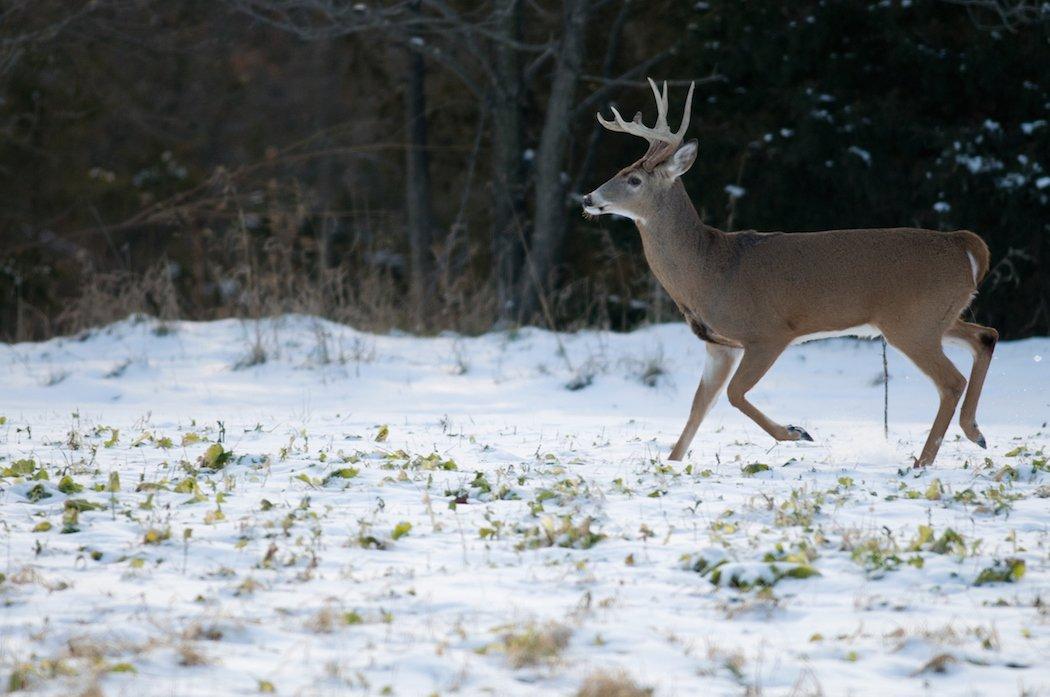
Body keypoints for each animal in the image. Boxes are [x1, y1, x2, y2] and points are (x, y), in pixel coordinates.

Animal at [588, 78, 995, 466]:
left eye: (634, 180)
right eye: (620, 171)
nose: (589, 198)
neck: (708, 269)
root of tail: (964, 245)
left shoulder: (767, 332)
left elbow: (734, 395)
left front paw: (797, 432)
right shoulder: (719, 345)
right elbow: (697, 410)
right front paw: (672, 463)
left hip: (911, 322)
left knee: (951, 380)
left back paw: (923, 461)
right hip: (936, 316)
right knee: (985, 336)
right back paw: (975, 432)